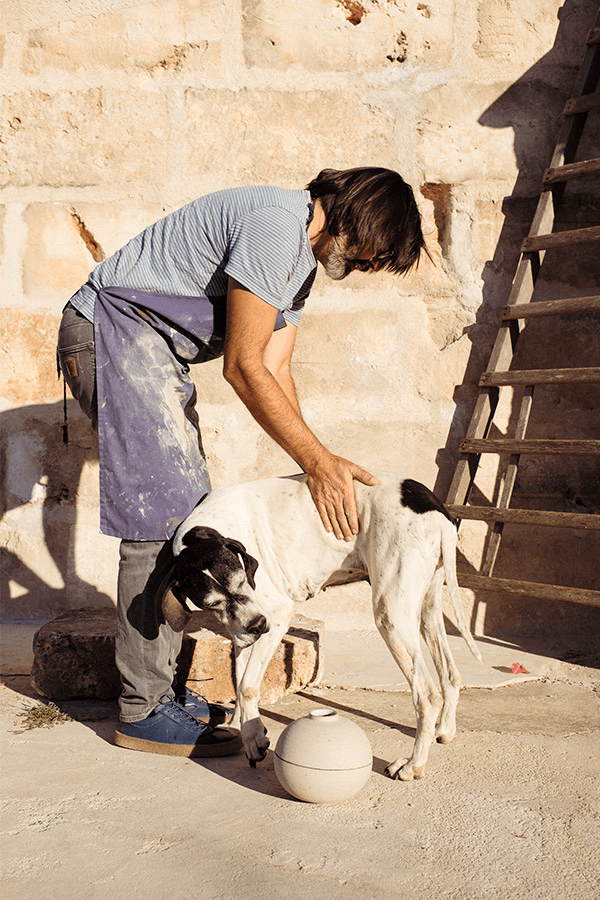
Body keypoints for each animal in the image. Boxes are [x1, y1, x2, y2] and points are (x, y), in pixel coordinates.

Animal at [162, 472, 480, 780]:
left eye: (242, 581)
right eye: (212, 604)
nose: (259, 625)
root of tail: (435, 507)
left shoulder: (277, 616)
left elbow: (247, 686)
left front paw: (253, 737)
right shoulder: (241, 631)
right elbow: (240, 680)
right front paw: (246, 729)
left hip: (391, 615)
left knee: (427, 695)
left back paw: (413, 765)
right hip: (427, 608)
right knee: (451, 675)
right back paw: (444, 730)